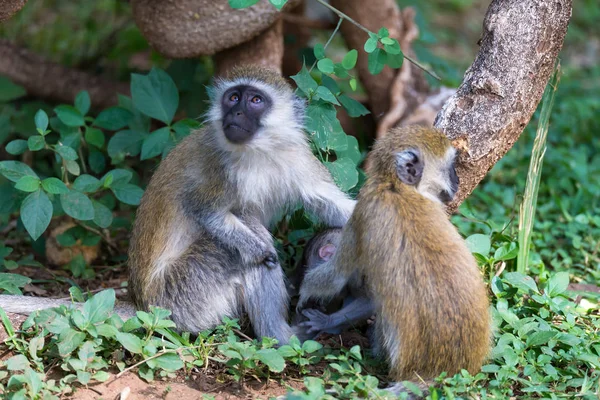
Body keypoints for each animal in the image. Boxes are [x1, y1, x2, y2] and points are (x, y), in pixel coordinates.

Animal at [125, 65, 352, 344]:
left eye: (255, 100)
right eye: (233, 98)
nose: (236, 112)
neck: (260, 151)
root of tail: (142, 303)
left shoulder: (297, 156)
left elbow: (329, 204)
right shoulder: (219, 169)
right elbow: (205, 211)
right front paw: (260, 252)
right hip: (179, 297)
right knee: (245, 242)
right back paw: (282, 338)